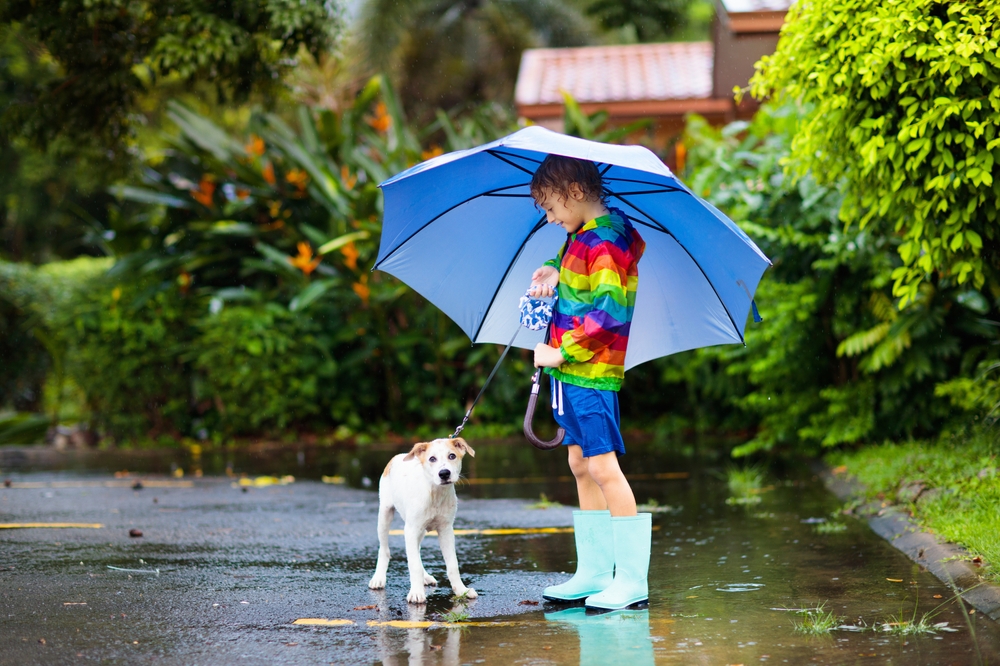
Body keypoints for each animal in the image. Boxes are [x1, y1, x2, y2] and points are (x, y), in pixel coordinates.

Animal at [370, 436, 478, 600]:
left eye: (452, 456)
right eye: (432, 459)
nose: (444, 473)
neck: (434, 493)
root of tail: (398, 456)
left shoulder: (446, 530)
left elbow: (452, 564)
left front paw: (461, 590)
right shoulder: (411, 529)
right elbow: (414, 564)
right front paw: (416, 593)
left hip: (419, 530)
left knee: (417, 551)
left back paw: (425, 577)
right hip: (385, 515)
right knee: (384, 549)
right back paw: (378, 578)